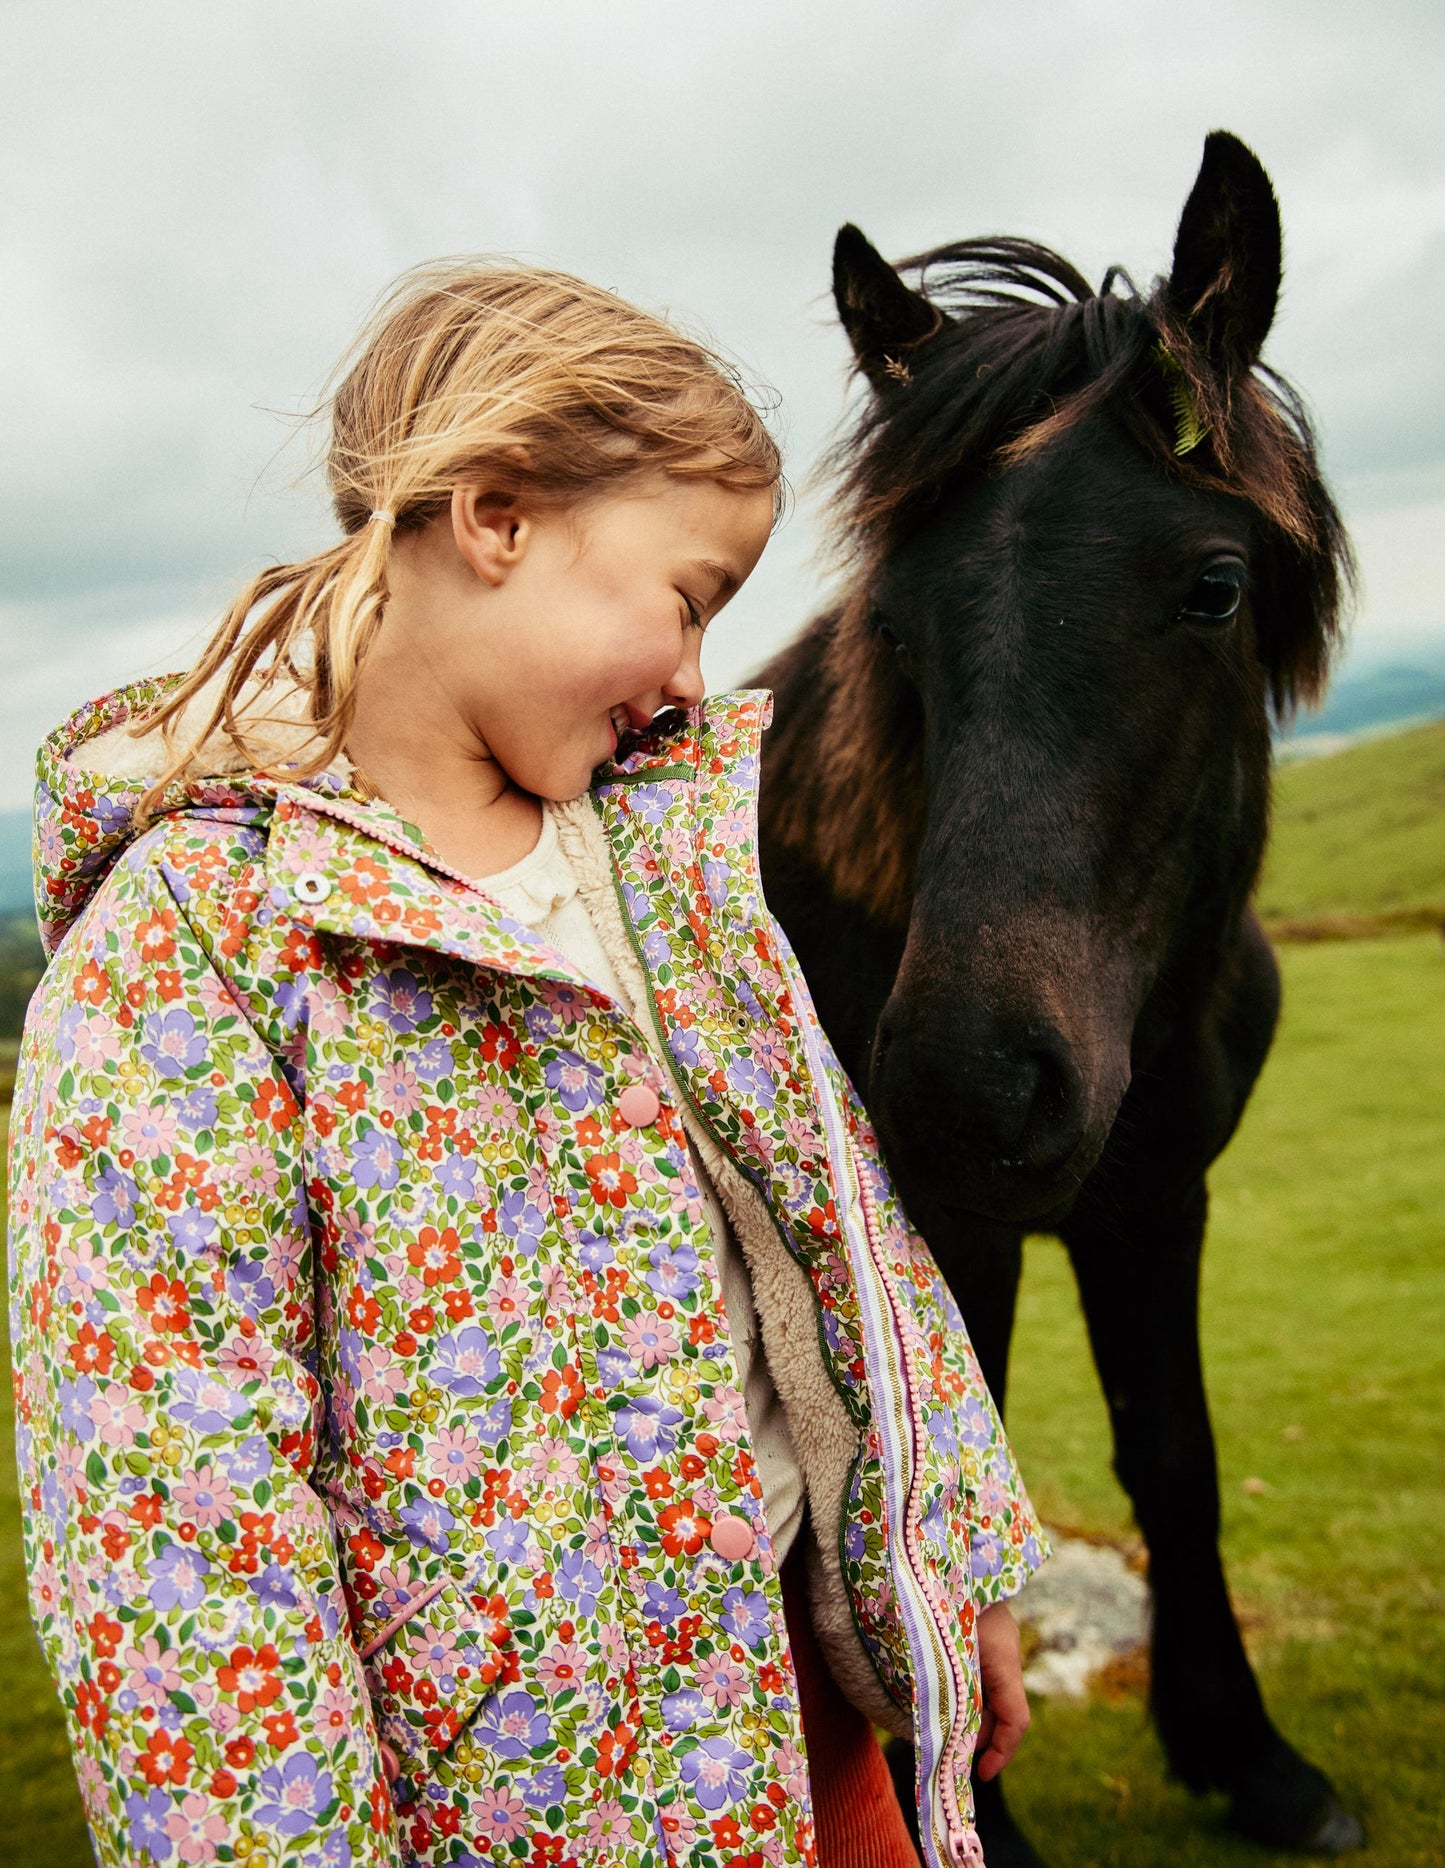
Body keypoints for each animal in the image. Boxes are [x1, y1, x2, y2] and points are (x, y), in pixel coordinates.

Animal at [757, 138, 1366, 1860]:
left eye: (1214, 585)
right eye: (899, 627)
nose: (966, 1092)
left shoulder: (1158, 1198)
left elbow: (1176, 1458)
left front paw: (1245, 1753)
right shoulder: (951, 1242)